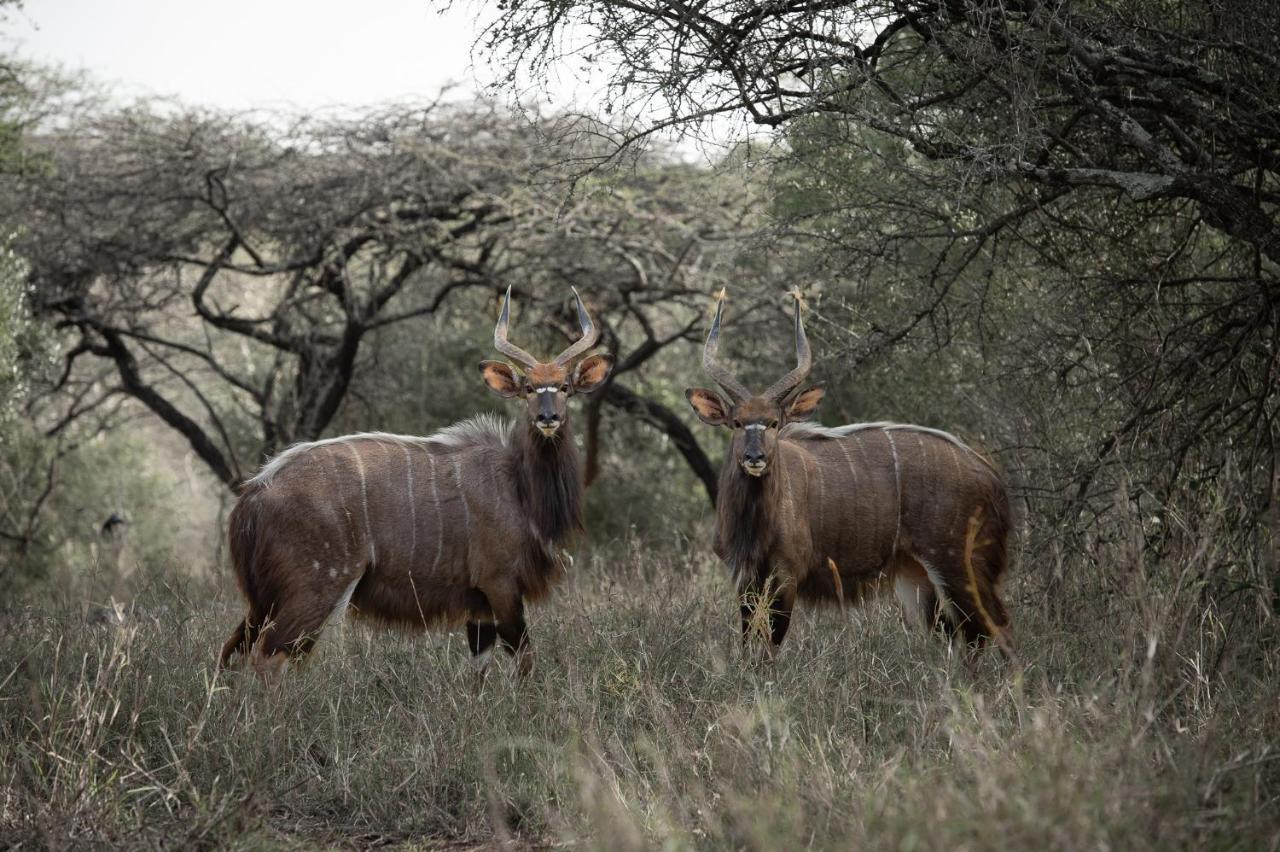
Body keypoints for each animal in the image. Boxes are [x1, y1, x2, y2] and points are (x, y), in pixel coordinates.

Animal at [221, 285, 614, 675]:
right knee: (269, 657)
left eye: (564, 387)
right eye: (529, 388)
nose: (548, 418)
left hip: (263, 601)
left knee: (231, 651)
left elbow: (479, 667)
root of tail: (254, 495)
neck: (518, 487)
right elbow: (525, 659)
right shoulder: (500, 584)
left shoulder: (479, 604)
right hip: (315, 588)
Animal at [686, 291, 1013, 654]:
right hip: (917, 575)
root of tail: (991, 477)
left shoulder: (786, 574)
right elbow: (748, 641)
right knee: (955, 631)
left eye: (773, 423)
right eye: (737, 422)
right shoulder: (743, 575)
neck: (754, 523)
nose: (754, 457)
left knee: (990, 627)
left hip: (959, 564)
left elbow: (771, 643)